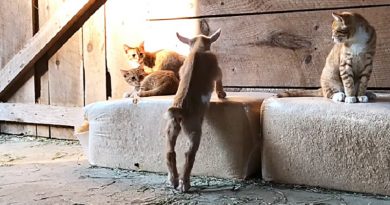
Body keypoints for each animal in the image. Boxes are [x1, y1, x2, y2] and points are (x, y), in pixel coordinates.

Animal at [164, 28, 225, 192]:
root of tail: (179, 109)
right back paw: (185, 184)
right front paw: (222, 94)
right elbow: (220, 80)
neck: (198, 49)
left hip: (171, 126)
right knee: (189, 154)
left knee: (170, 151)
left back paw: (173, 180)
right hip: (194, 130)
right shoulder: (217, 69)